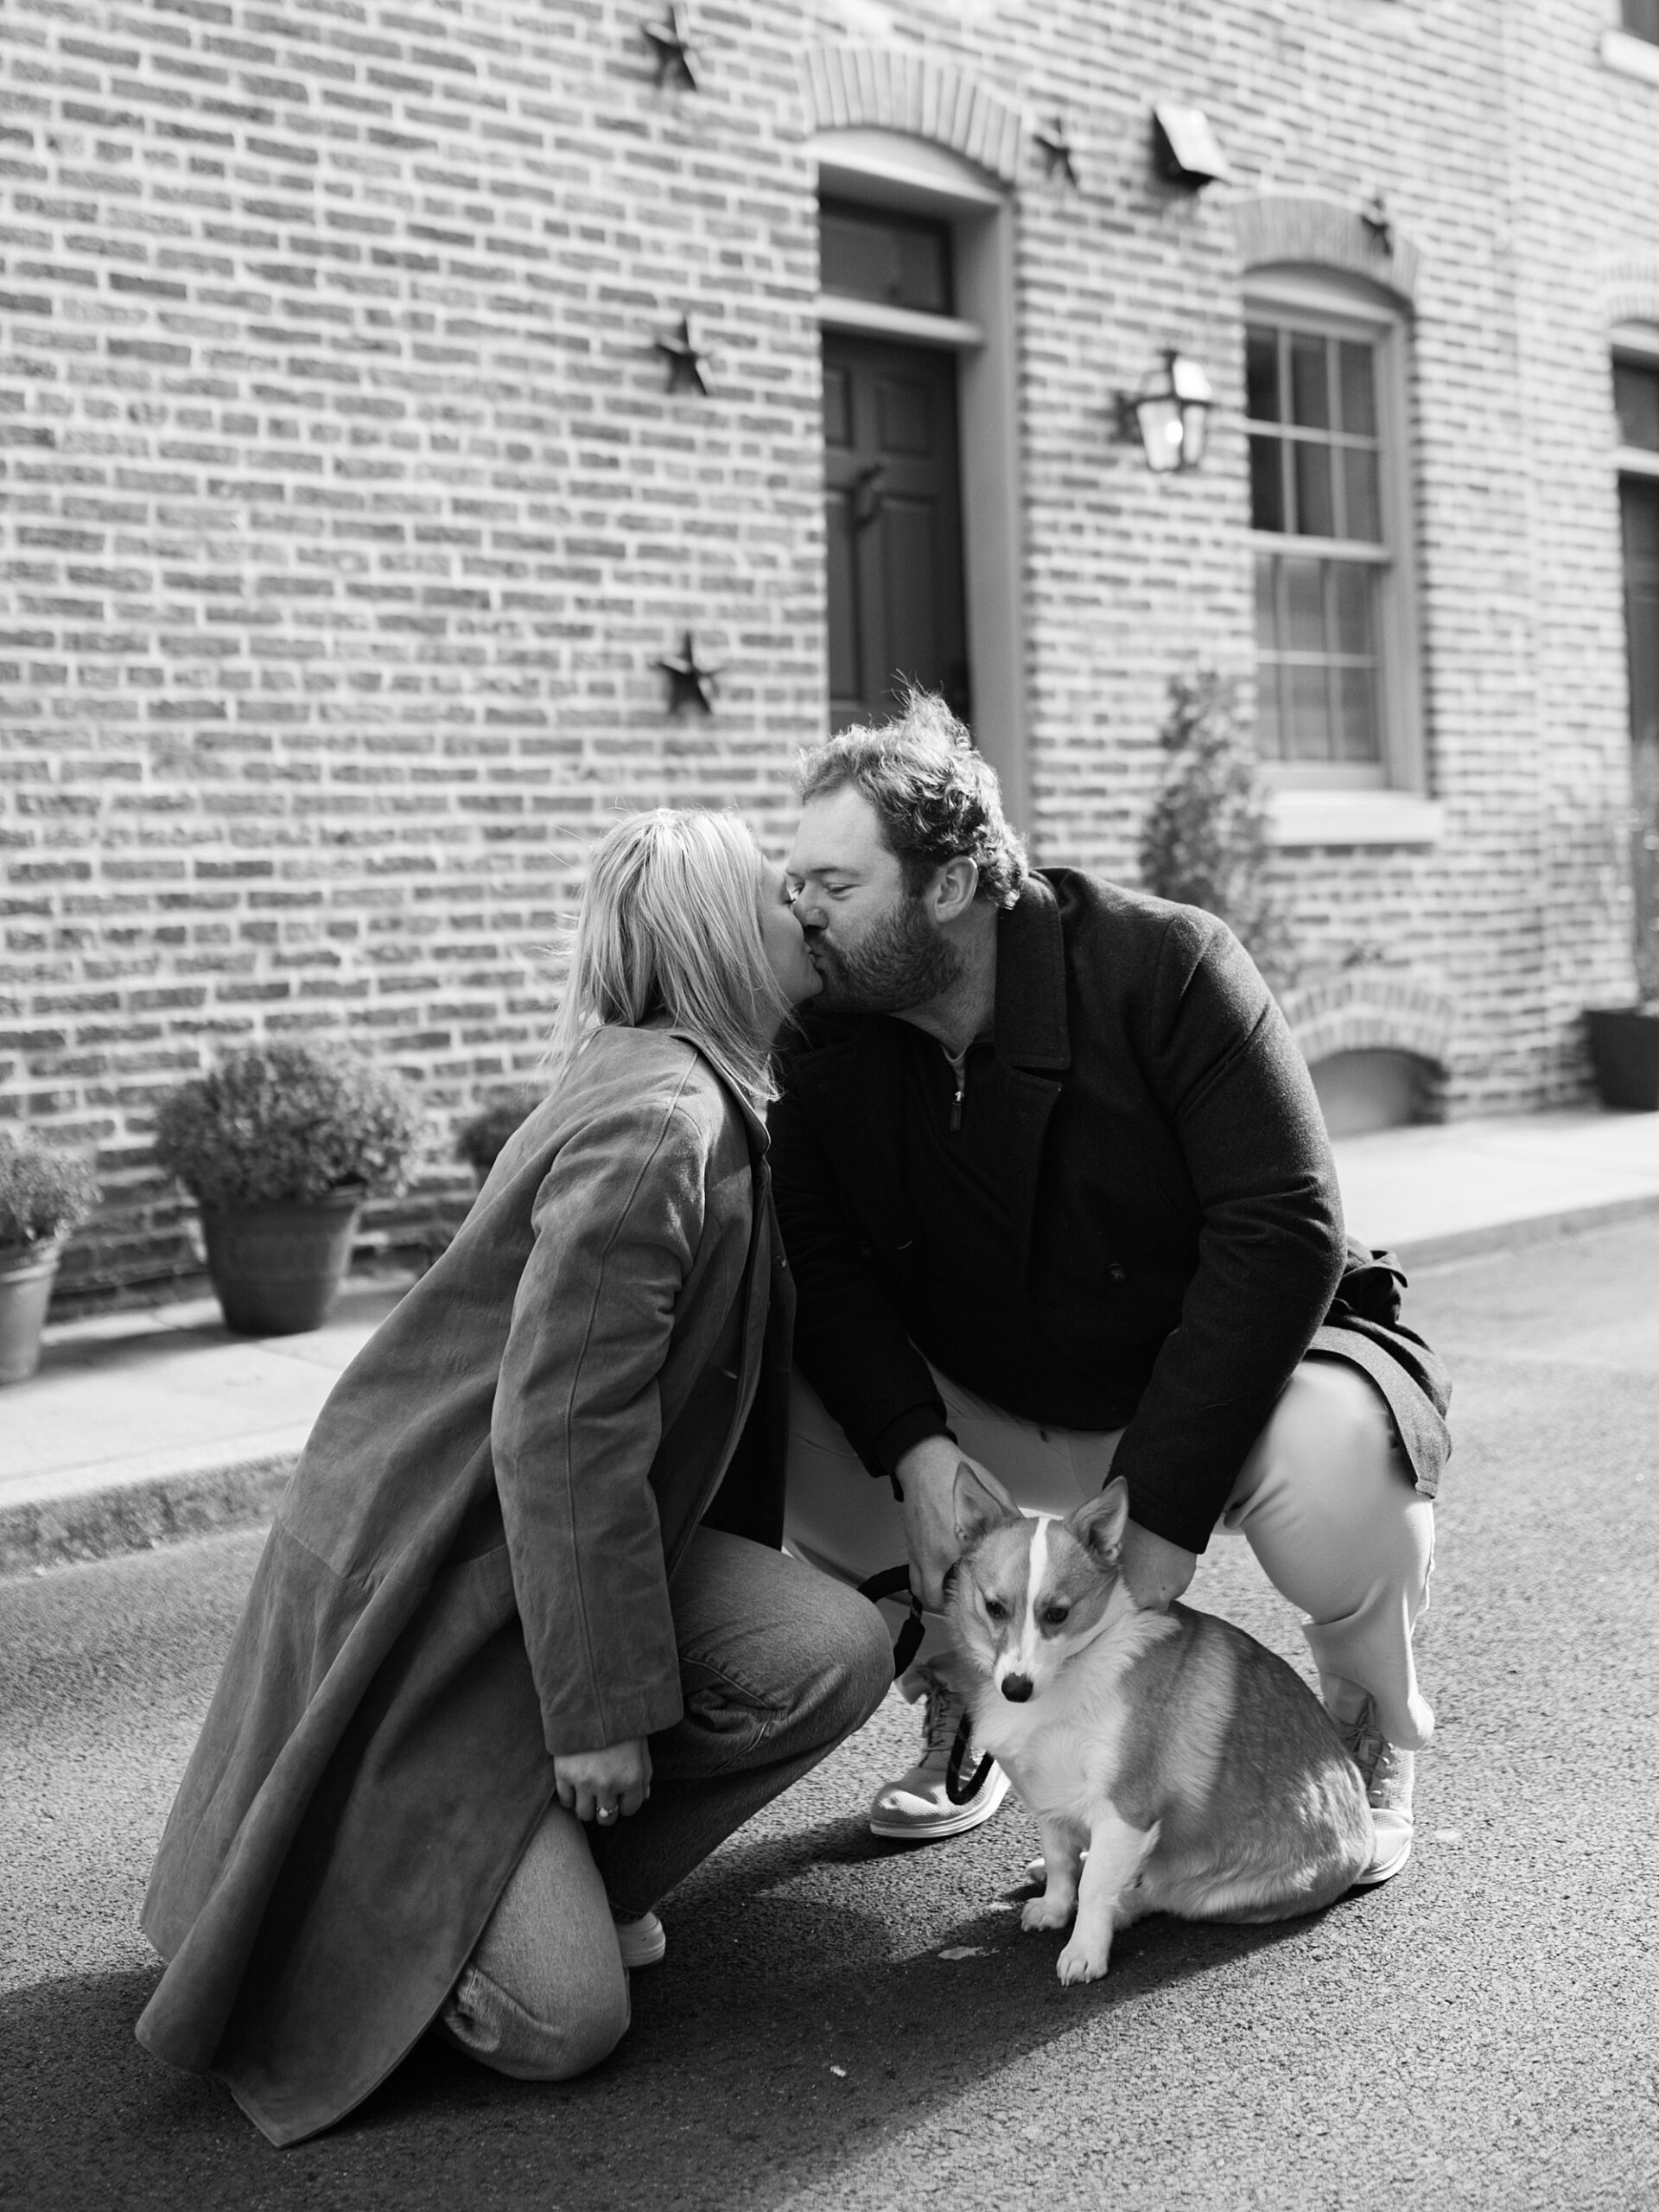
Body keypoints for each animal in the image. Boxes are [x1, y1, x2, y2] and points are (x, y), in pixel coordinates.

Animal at [946, 1468, 1380, 1991]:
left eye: (1057, 1614)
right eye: (994, 1607)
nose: (1015, 1687)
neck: (1074, 1669)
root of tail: (1363, 1833)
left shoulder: (1126, 1808)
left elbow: (1096, 1888)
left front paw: (1084, 1951)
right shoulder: (1049, 1797)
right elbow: (1061, 1860)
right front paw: (1053, 1907)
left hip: (1219, 1890)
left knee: (1159, 1893)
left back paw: (1125, 1908)